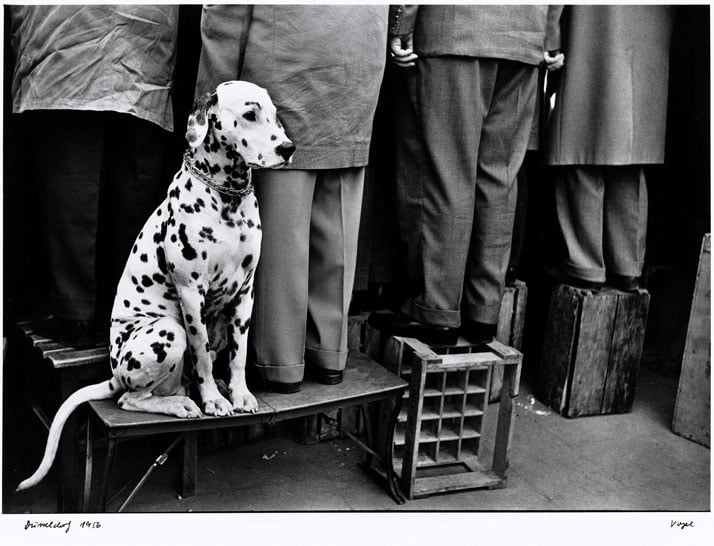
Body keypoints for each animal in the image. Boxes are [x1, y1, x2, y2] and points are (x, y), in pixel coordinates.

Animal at [17, 79, 294, 488]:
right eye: (249, 114)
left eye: (275, 115)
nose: (288, 148)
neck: (227, 198)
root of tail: (114, 374)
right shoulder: (191, 293)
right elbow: (201, 354)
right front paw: (214, 400)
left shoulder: (245, 293)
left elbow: (238, 355)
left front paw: (239, 393)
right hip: (167, 331)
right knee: (133, 399)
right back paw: (183, 402)